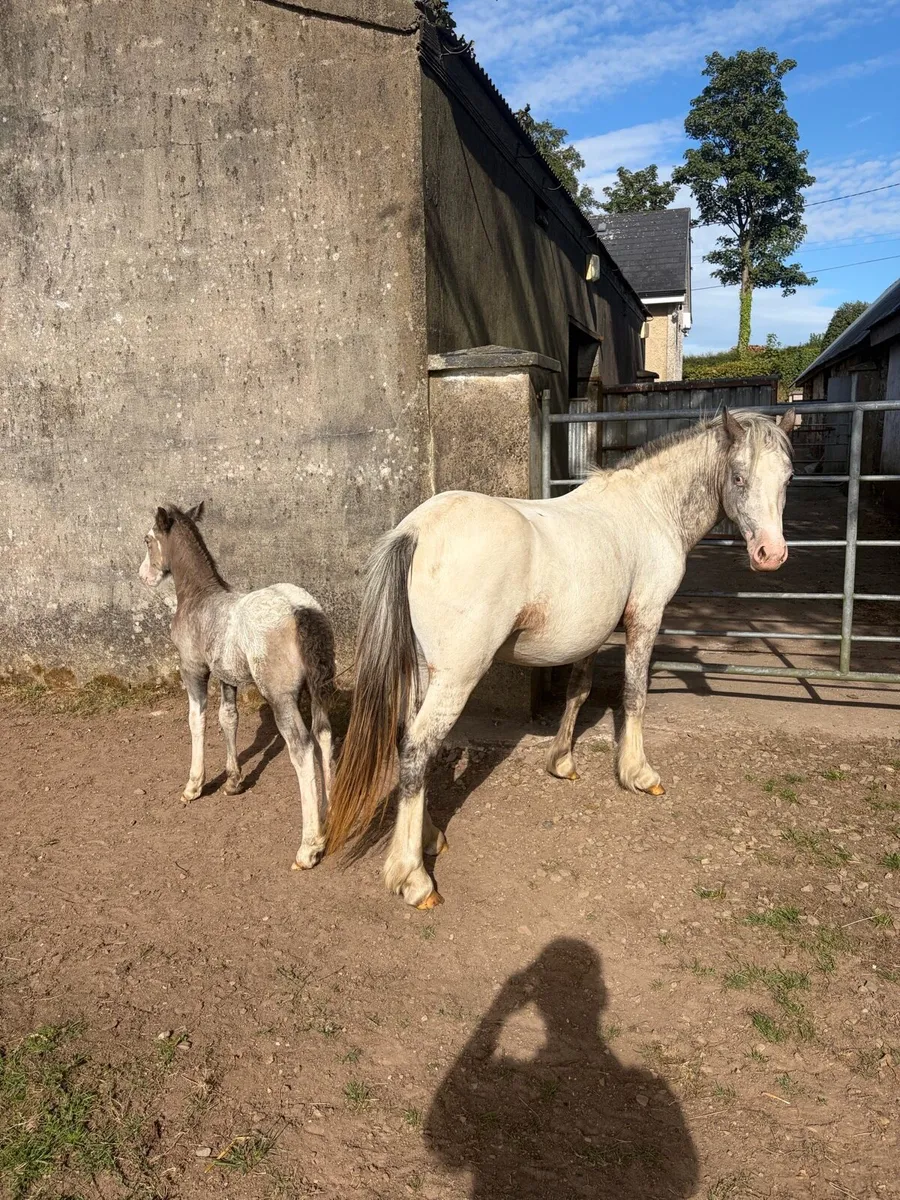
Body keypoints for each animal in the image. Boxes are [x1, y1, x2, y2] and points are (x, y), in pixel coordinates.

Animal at [139, 503, 335, 870]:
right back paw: (330, 817)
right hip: (320, 686)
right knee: (325, 735)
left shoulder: (193, 669)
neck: (199, 597)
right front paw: (233, 781)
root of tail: (301, 609)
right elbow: (228, 718)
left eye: (147, 540)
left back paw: (309, 847)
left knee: (302, 747)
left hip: (281, 696)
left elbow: (197, 720)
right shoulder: (226, 676)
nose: (143, 576)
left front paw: (193, 786)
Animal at [326, 407, 798, 908]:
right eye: (738, 476)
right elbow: (634, 695)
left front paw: (562, 763)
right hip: (456, 676)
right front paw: (638, 773)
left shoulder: (593, 633)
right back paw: (412, 876)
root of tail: (415, 530)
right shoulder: (646, 616)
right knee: (418, 747)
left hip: (421, 670)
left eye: (788, 477)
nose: (770, 555)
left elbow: (579, 691)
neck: (650, 507)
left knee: (407, 740)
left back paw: (429, 836)